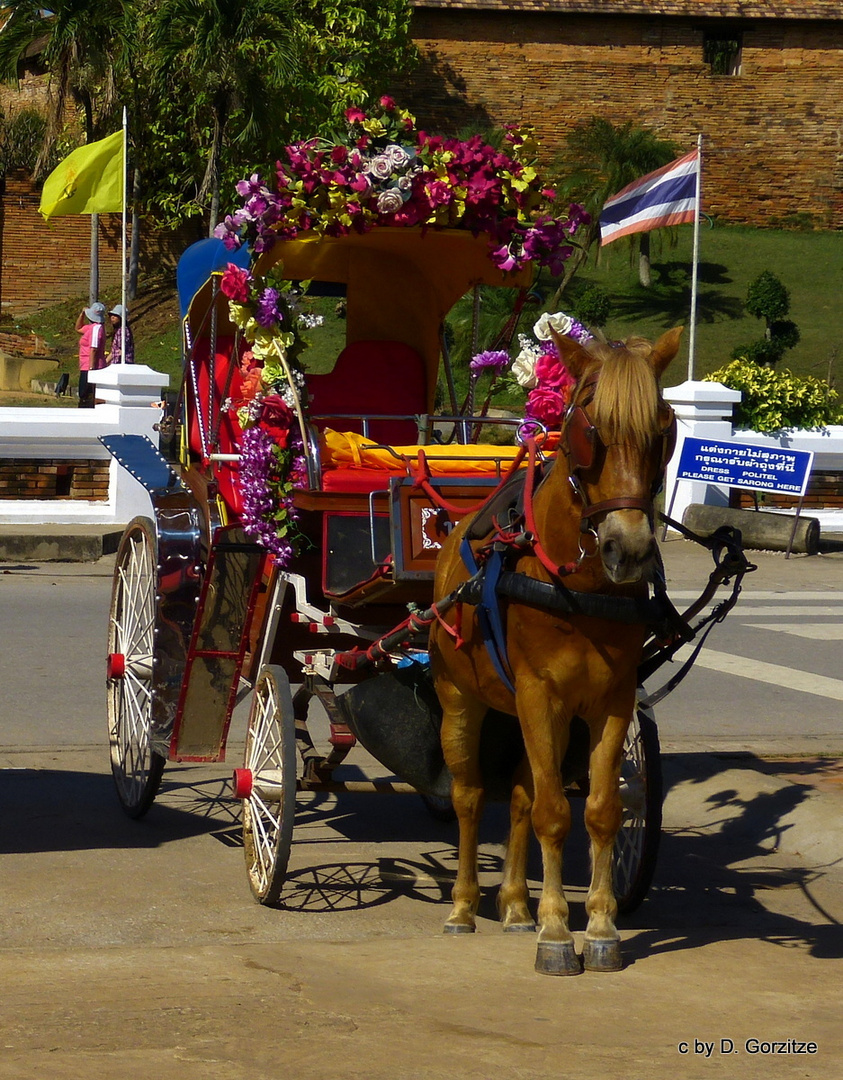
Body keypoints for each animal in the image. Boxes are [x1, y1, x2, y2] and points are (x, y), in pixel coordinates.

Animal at [431, 324, 682, 976]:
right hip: (460, 697)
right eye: (589, 430)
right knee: (470, 797)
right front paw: (555, 932)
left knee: (520, 796)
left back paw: (516, 905)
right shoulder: (538, 695)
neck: (582, 587)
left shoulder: (610, 701)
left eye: (664, 429)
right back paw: (463, 907)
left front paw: (599, 927)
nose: (629, 549)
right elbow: (553, 813)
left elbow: (598, 810)